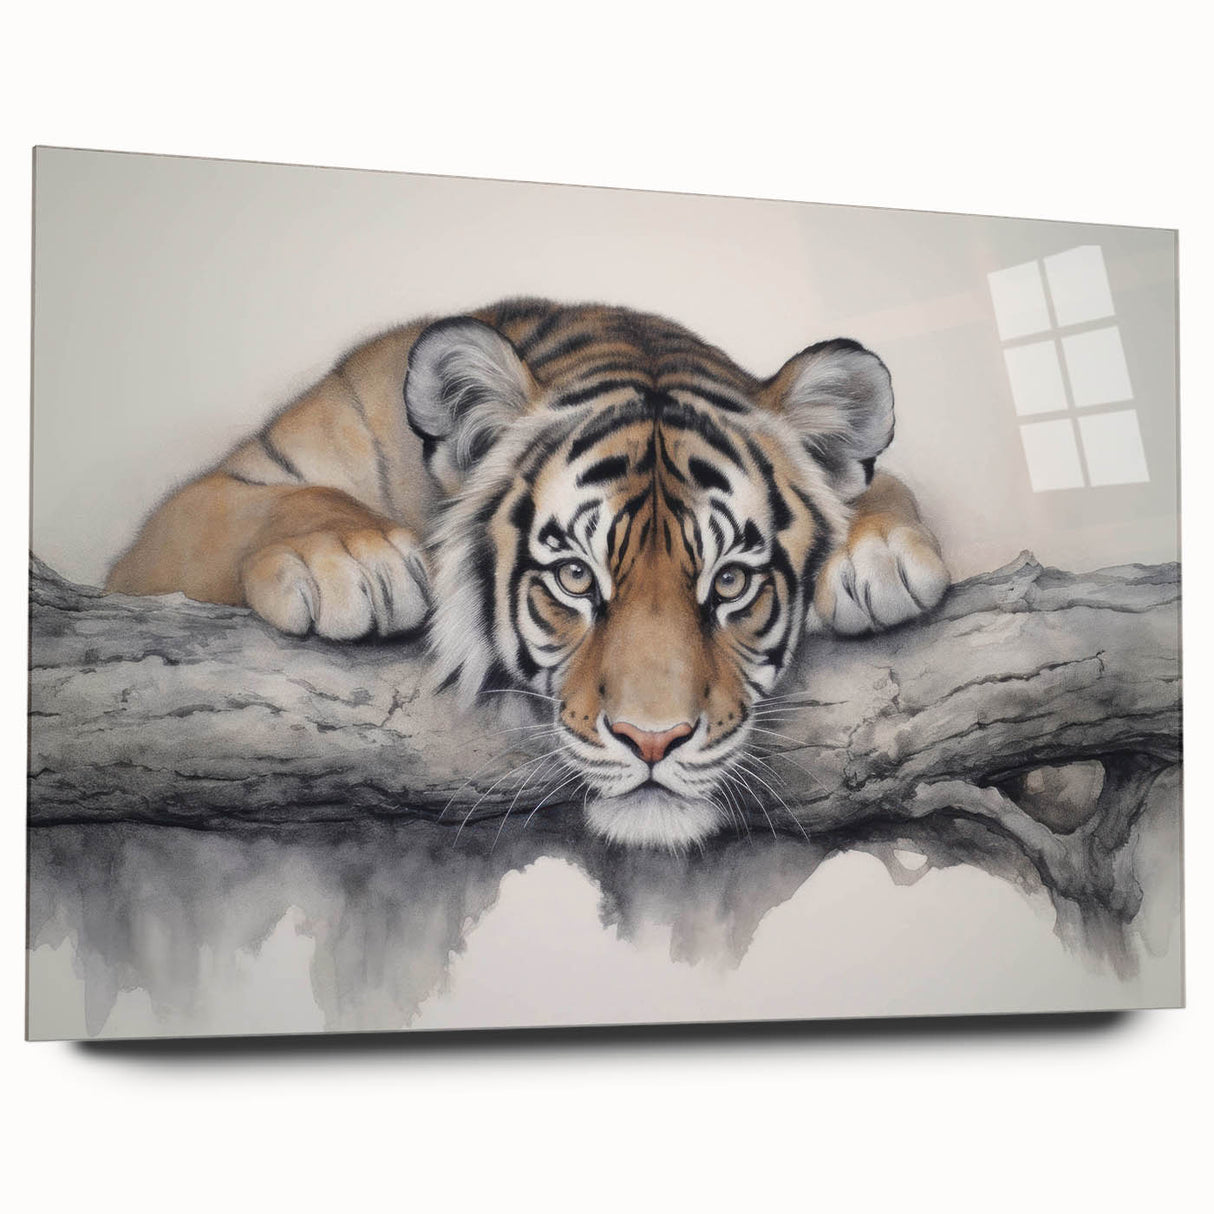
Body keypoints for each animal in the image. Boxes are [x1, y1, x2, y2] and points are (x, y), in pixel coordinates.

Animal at [107, 299, 949, 849]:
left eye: (731, 583)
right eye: (575, 577)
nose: (653, 743)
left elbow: (878, 488)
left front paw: (881, 552)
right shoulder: (181, 520)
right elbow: (280, 501)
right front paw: (354, 561)